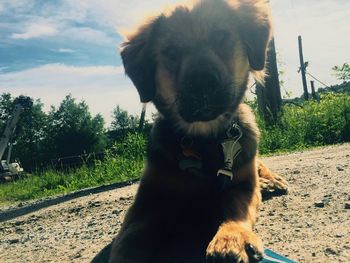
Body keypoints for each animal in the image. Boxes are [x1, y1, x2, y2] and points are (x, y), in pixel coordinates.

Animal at [92, 0, 288, 263]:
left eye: (221, 36)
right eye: (171, 51)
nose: (202, 81)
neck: (202, 138)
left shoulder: (242, 185)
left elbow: (236, 207)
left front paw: (232, 237)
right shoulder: (146, 200)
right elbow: (129, 236)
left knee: (261, 167)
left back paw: (272, 182)